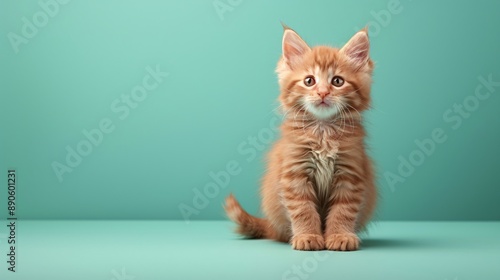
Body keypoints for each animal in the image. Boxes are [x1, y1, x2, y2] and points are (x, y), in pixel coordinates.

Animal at [225, 26, 376, 252]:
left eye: (337, 81)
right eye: (309, 81)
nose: (322, 93)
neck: (323, 131)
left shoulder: (350, 173)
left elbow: (343, 210)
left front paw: (340, 235)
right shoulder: (295, 173)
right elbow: (303, 210)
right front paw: (308, 236)